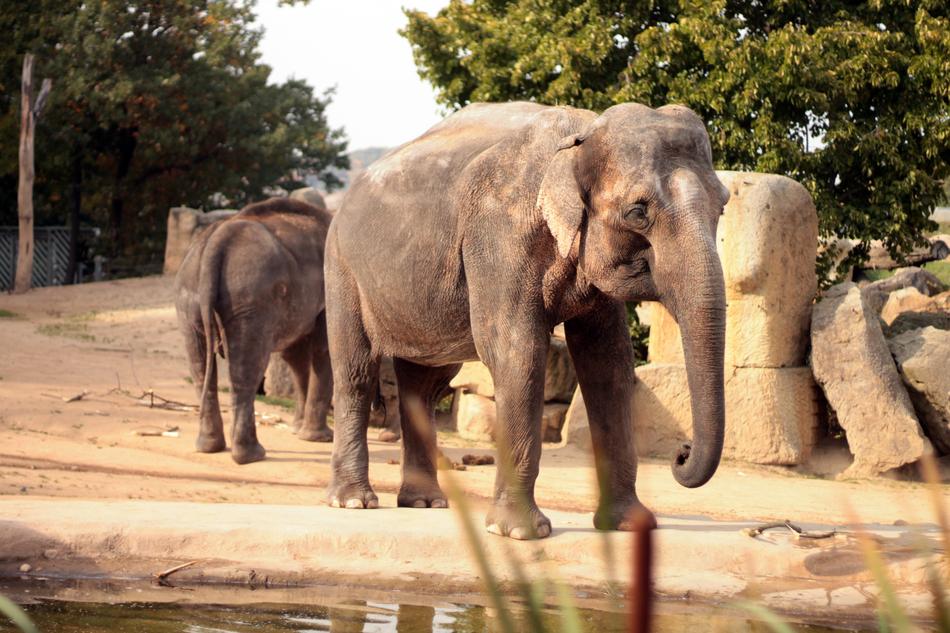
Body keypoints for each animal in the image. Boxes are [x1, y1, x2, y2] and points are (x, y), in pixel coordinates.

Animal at [175, 197, 334, 464]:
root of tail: (215, 242)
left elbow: (295, 356)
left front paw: (298, 430)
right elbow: (323, 351)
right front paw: (320, 438)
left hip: (191, 299)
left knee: (198, 365)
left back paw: (209, 447)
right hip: (250, 298)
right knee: (247, 367)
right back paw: (251, 455)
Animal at [324, 101, 729, 539]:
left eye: (723, 205)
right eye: (638, 212)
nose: (681, 453)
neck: (582, 134)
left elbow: (609, 363)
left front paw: (629, 526)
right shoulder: (498, 238)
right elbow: (518, 353)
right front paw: (520, 533)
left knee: (425, 383)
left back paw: (424, 503)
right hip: (341, 267)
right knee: (355, 371)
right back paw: (353, 501)